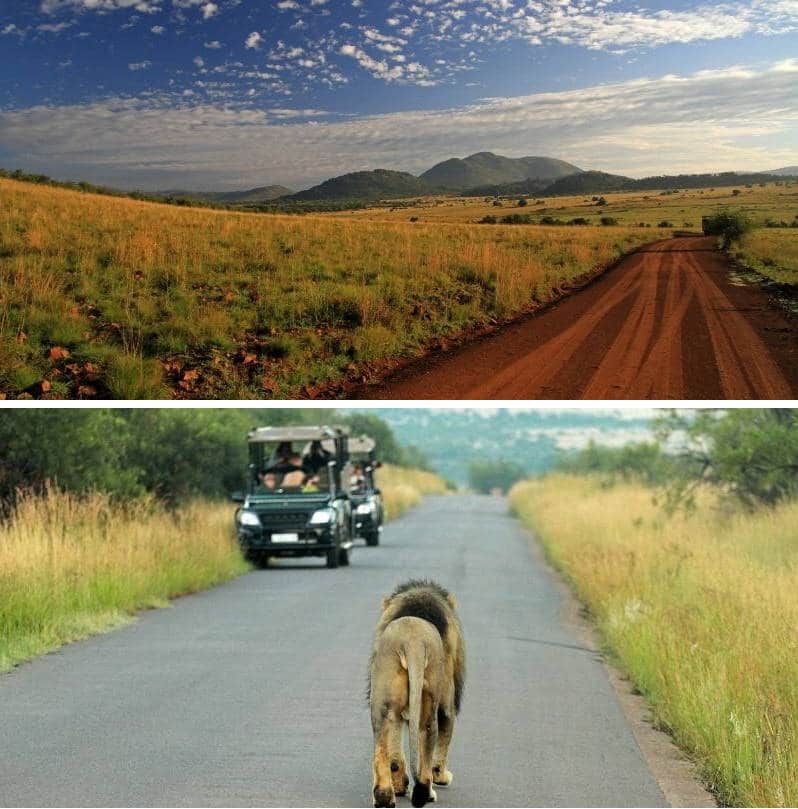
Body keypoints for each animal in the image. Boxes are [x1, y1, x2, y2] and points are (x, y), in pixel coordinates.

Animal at [370, 576, 468, 804]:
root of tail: (411, 641)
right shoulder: (447, 704)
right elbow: (444, 741)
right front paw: (442, 776)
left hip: (381, 704)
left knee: (383, 748)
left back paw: (385, 796)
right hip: (430, 704)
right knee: (427, 748)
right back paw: (428, 792)